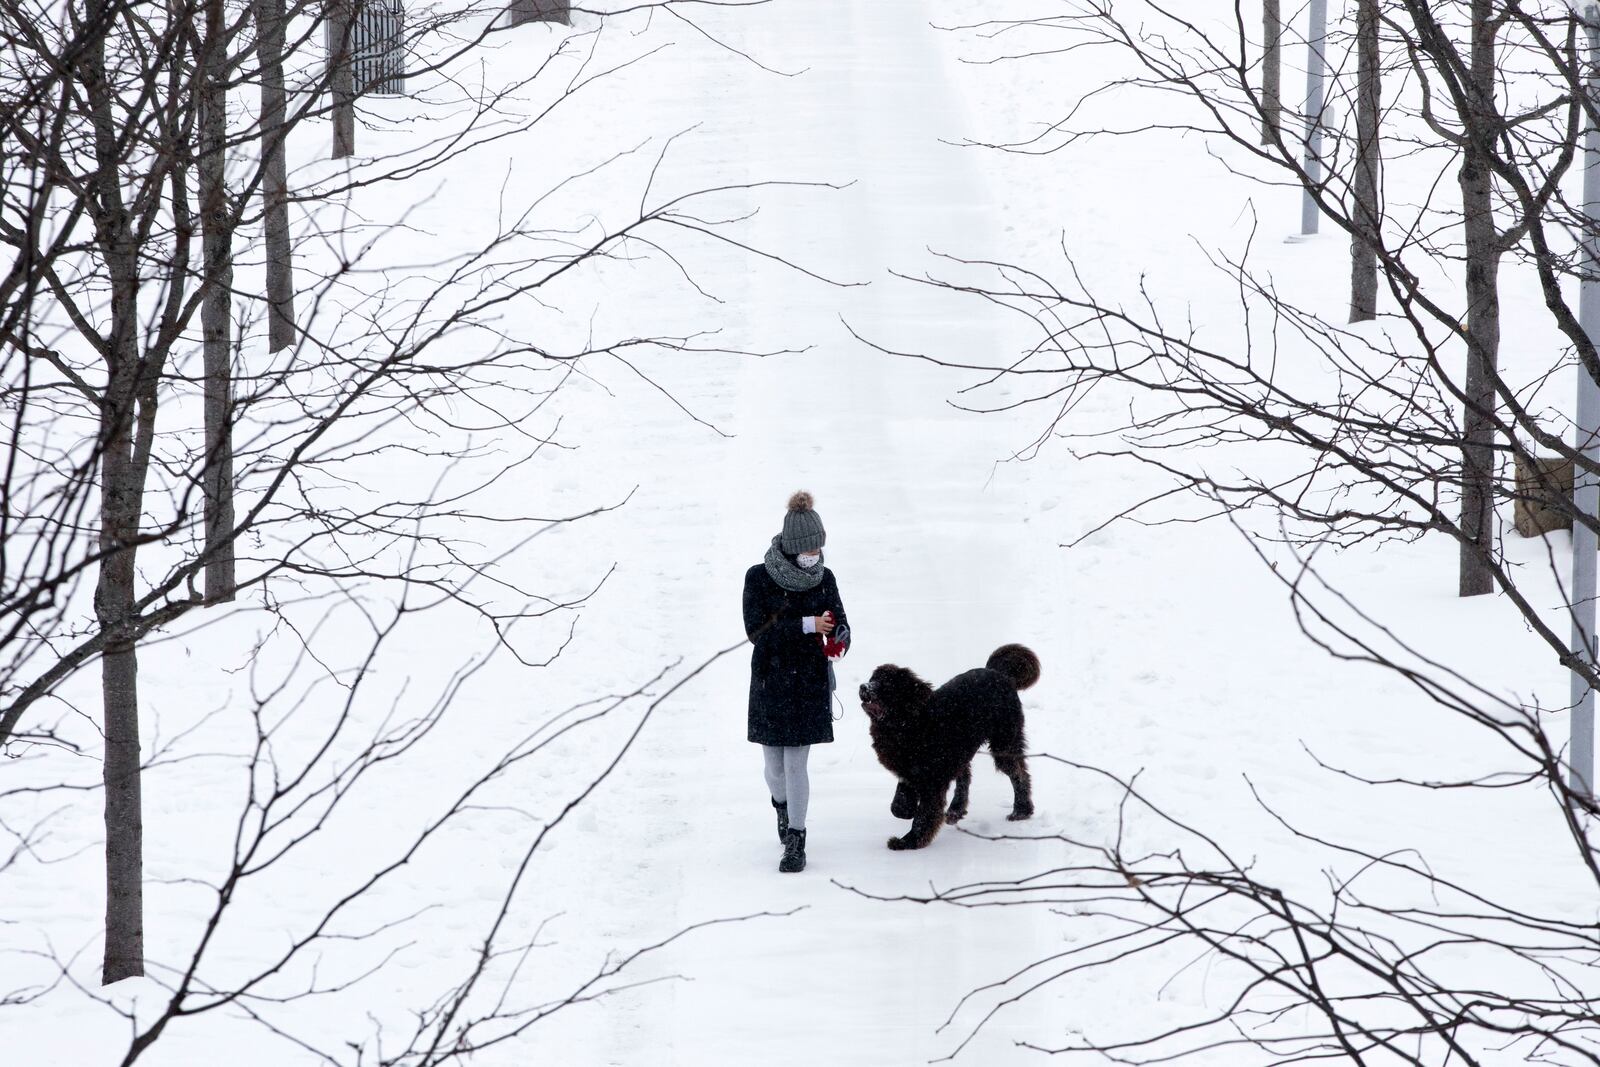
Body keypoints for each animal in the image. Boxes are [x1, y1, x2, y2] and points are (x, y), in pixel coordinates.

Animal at [857, 643, 1043, 851]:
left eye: (887, 684)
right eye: (873, 679)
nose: (863, 687)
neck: (910, 724)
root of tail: (997, 672)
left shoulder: (932, 779)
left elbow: (924, 815)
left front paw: (909, 841)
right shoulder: (909, 770)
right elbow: (900, 803)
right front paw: (906, 810)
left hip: (1004, 744)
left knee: (1020, 774)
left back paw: (1021, 810)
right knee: (966, 776)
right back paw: (956, 809)